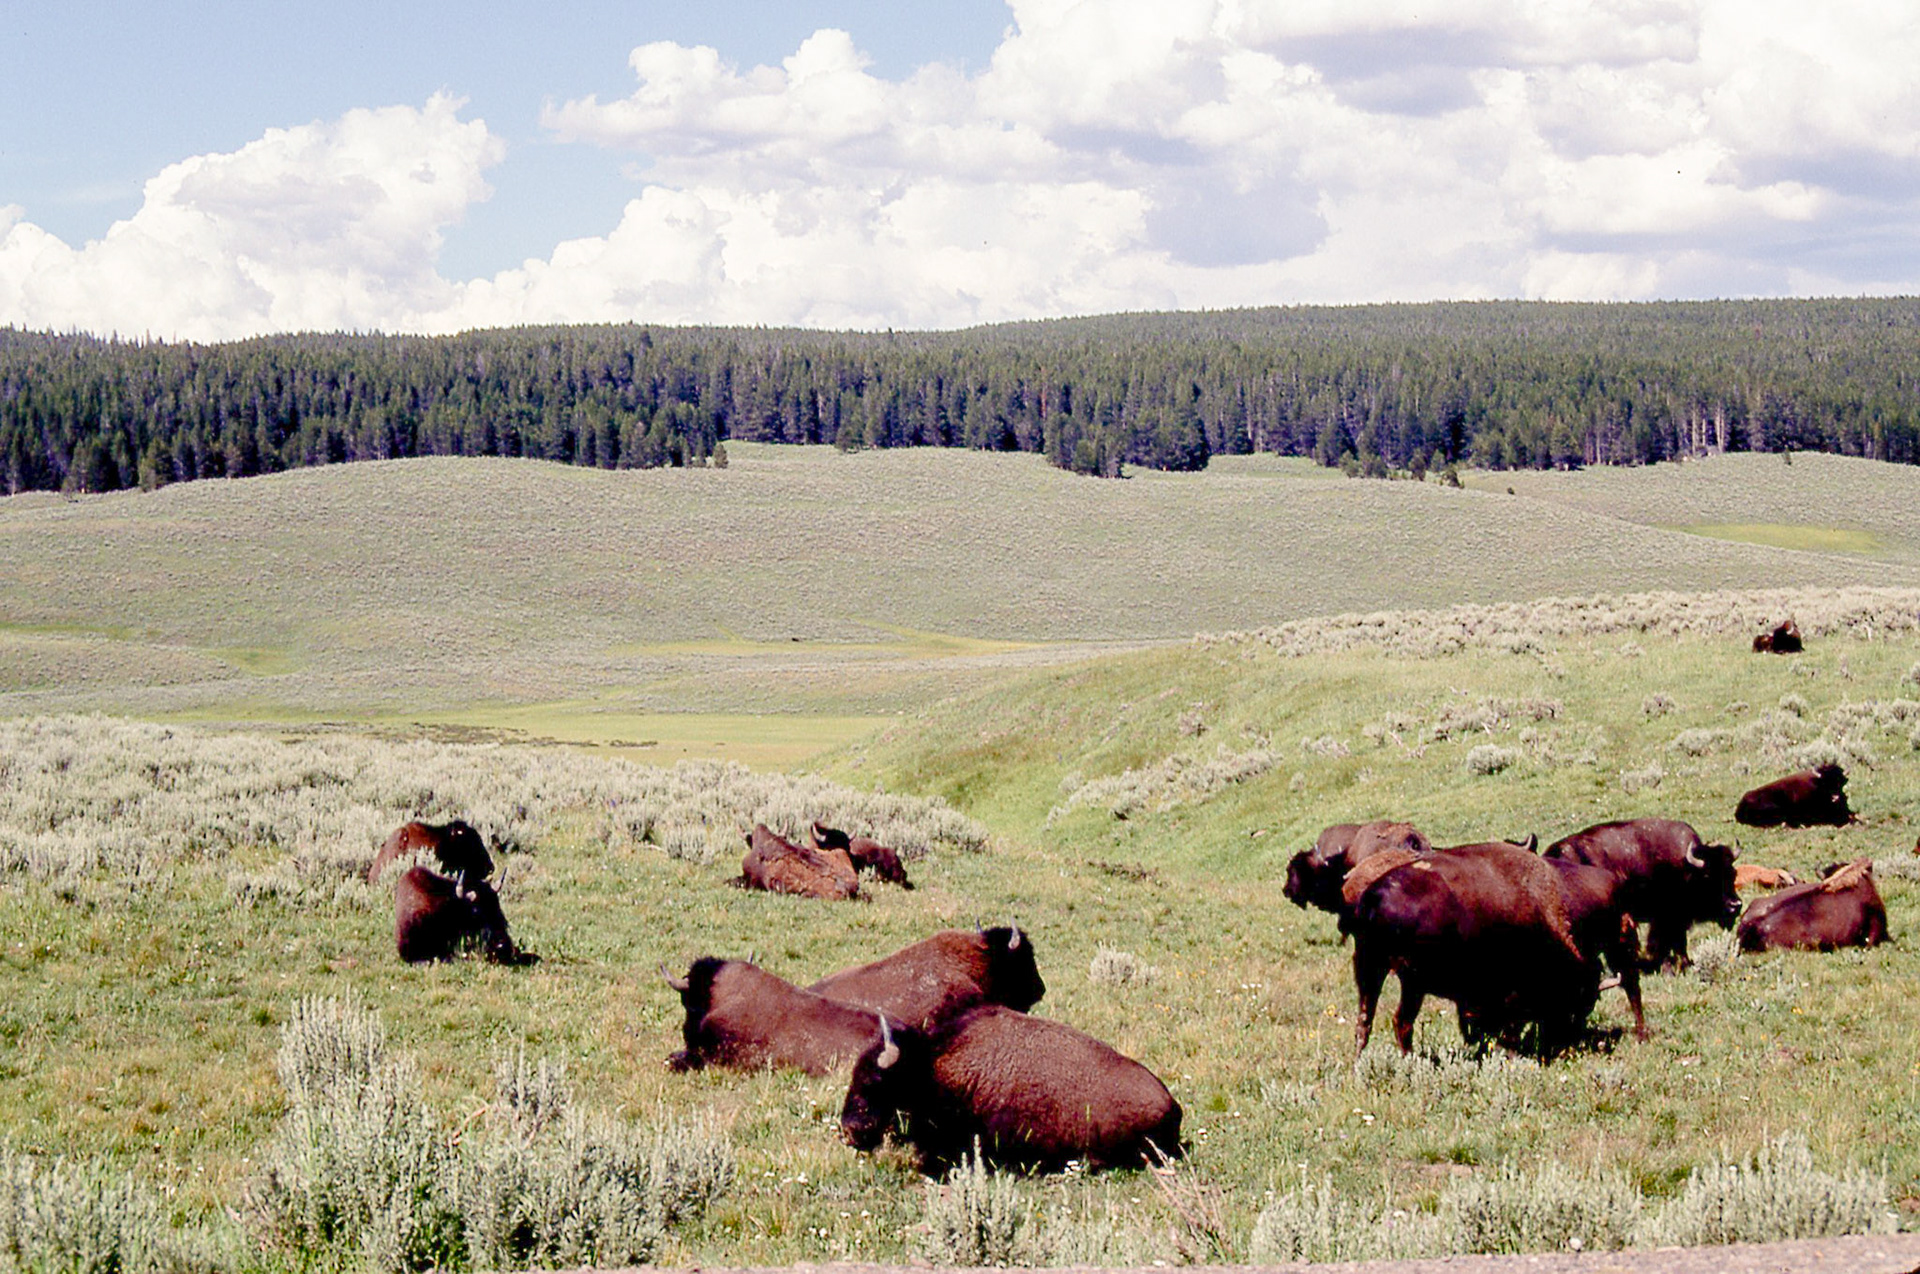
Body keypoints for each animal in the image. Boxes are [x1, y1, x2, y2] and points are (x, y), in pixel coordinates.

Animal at [1544, 818, 1741, 969]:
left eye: (1732, 873)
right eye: (1708, 875)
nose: (1735, 905)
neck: (1685, 867)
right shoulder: (1666, 918)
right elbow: (1667, 942)